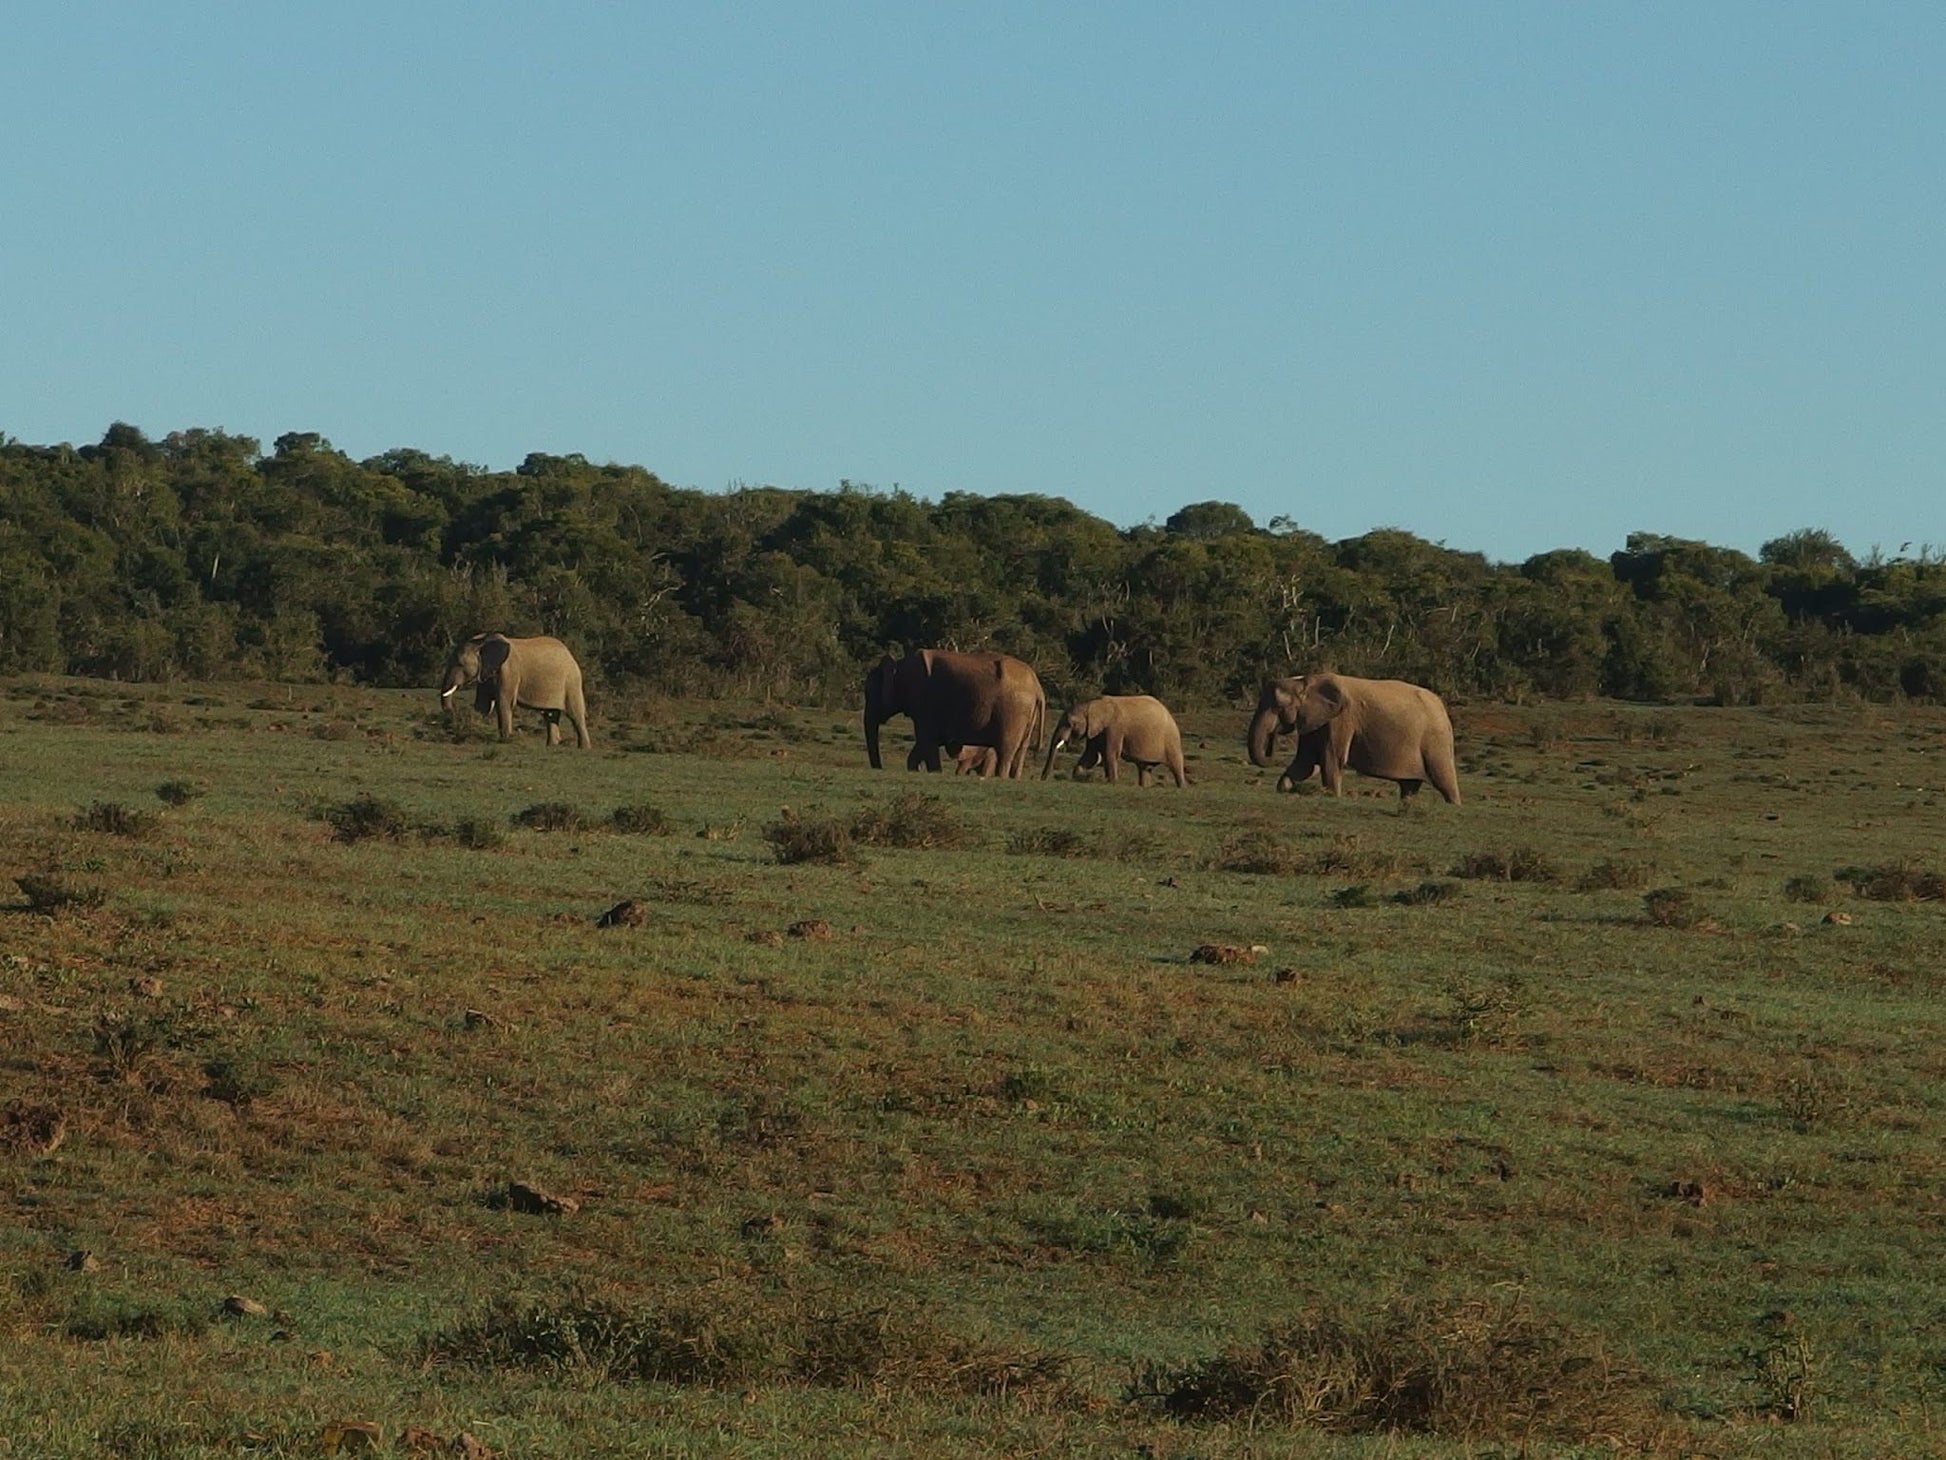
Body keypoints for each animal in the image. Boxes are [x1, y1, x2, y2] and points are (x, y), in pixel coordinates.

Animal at [437, 630, 587, 747]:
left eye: (460, 664)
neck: (482, 642)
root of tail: (570, 654)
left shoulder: (509, 671)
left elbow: (504, 703)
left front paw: (506, 739)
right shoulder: (486, 672)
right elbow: (483, 705)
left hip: (572, 681)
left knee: (575, 715)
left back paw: (584, 748)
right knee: (550, 714)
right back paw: (551, 746)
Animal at [867, 654, 1050, 782]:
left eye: (871, 694)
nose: (879, 768)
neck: (899, 667)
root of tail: (1038, 688)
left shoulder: (924, 703)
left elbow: (927, 740)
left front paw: (934, 772)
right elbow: (924, 743)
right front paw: (916, 769)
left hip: (1013, 712)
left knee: (1006, 750)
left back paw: (1001, 778)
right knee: (1020, 750)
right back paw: (1014, 778)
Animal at [1043, 696, 1190, 790]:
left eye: (1070, 723)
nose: (1042, 778)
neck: (1092, 704)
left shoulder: (1114, 728)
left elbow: (1110, 753)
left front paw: (1112, 782)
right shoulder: (1095, 730)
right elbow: (1092, 756)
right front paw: (1079, 776)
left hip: (1171, 739)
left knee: (1175, 763)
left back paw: (1182, 788)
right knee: (1144, 767)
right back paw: (1144, 787)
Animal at [1245, 677, 1463, 805]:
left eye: (1277, 707)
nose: (1273, 738)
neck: (1305, 681)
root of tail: (1443, 710)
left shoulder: (1341, 720)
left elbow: (1330, 760)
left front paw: (1332, 796)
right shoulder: (1315, 722)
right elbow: (1305, 764)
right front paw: (1282, 790)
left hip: (1435, 741)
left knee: (1444, 780)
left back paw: (1454, 806)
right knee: (1409, 786)